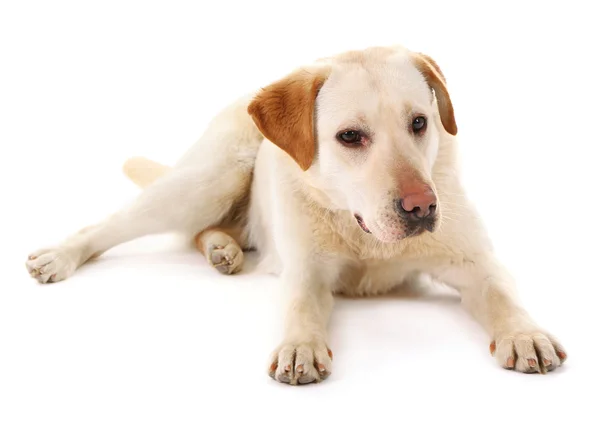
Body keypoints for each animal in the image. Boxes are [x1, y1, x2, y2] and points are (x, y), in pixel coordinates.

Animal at [24, 45, 568, 386]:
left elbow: (501, 293)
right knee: (114, 224)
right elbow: (301, 306)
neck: (363, 233)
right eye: (350, 137)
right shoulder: (305, 271)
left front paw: (526, 333)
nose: (422, 207)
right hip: (208, 180)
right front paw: (300, 346)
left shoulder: (475, 263)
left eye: (420, 123)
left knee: (202, 232)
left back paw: (221, 247)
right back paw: (60, 255)